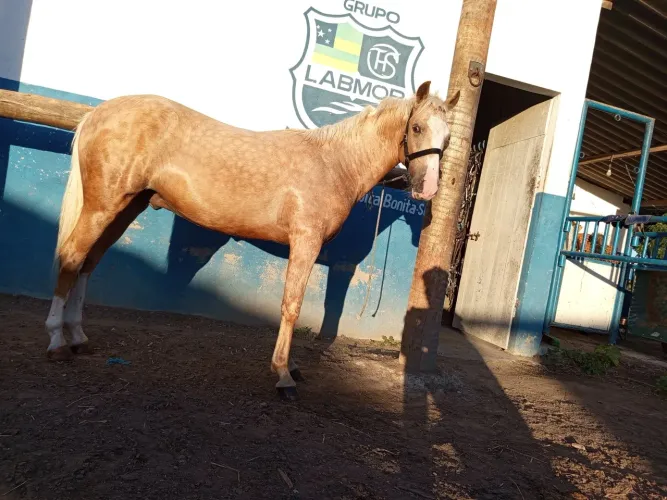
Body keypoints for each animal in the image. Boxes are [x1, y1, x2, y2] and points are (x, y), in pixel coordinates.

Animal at [44, 80, 460, 400]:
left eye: (449, 137)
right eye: (417, 128)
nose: (427, 189)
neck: (335, 163)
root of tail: (99, 113)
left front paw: (291, 366)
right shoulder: (305, 241)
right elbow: (292, 305)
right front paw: (284, 376)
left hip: (126, 207)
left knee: (89, 261)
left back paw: (78, 336)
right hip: (102, 206)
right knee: (72, 257)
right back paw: (57, 343)